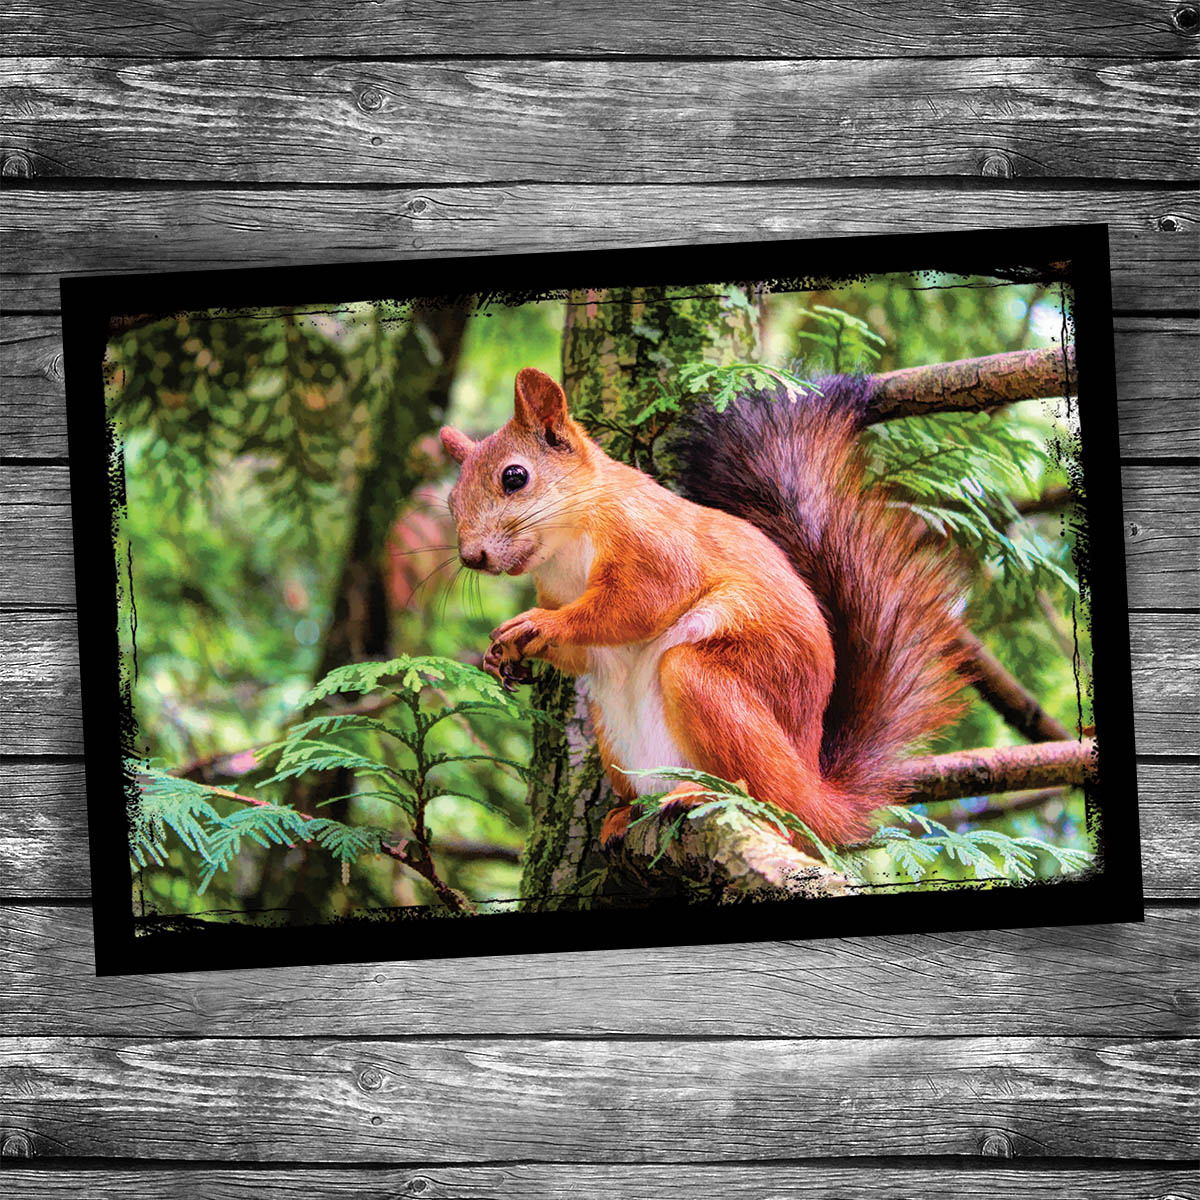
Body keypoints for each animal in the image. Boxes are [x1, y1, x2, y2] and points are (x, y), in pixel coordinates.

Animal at [439, 366, 968, 849]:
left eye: (515, 477)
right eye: (450, 500)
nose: (471, 557)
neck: (565, 547)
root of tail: (816, 794)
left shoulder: (653, 544)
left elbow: (636, 604)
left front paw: (542, 624)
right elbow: (582, 654)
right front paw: (504, 655)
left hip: (708, 683)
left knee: (773, 802)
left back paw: (712, 797)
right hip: (613, 731)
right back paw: (625, 814)